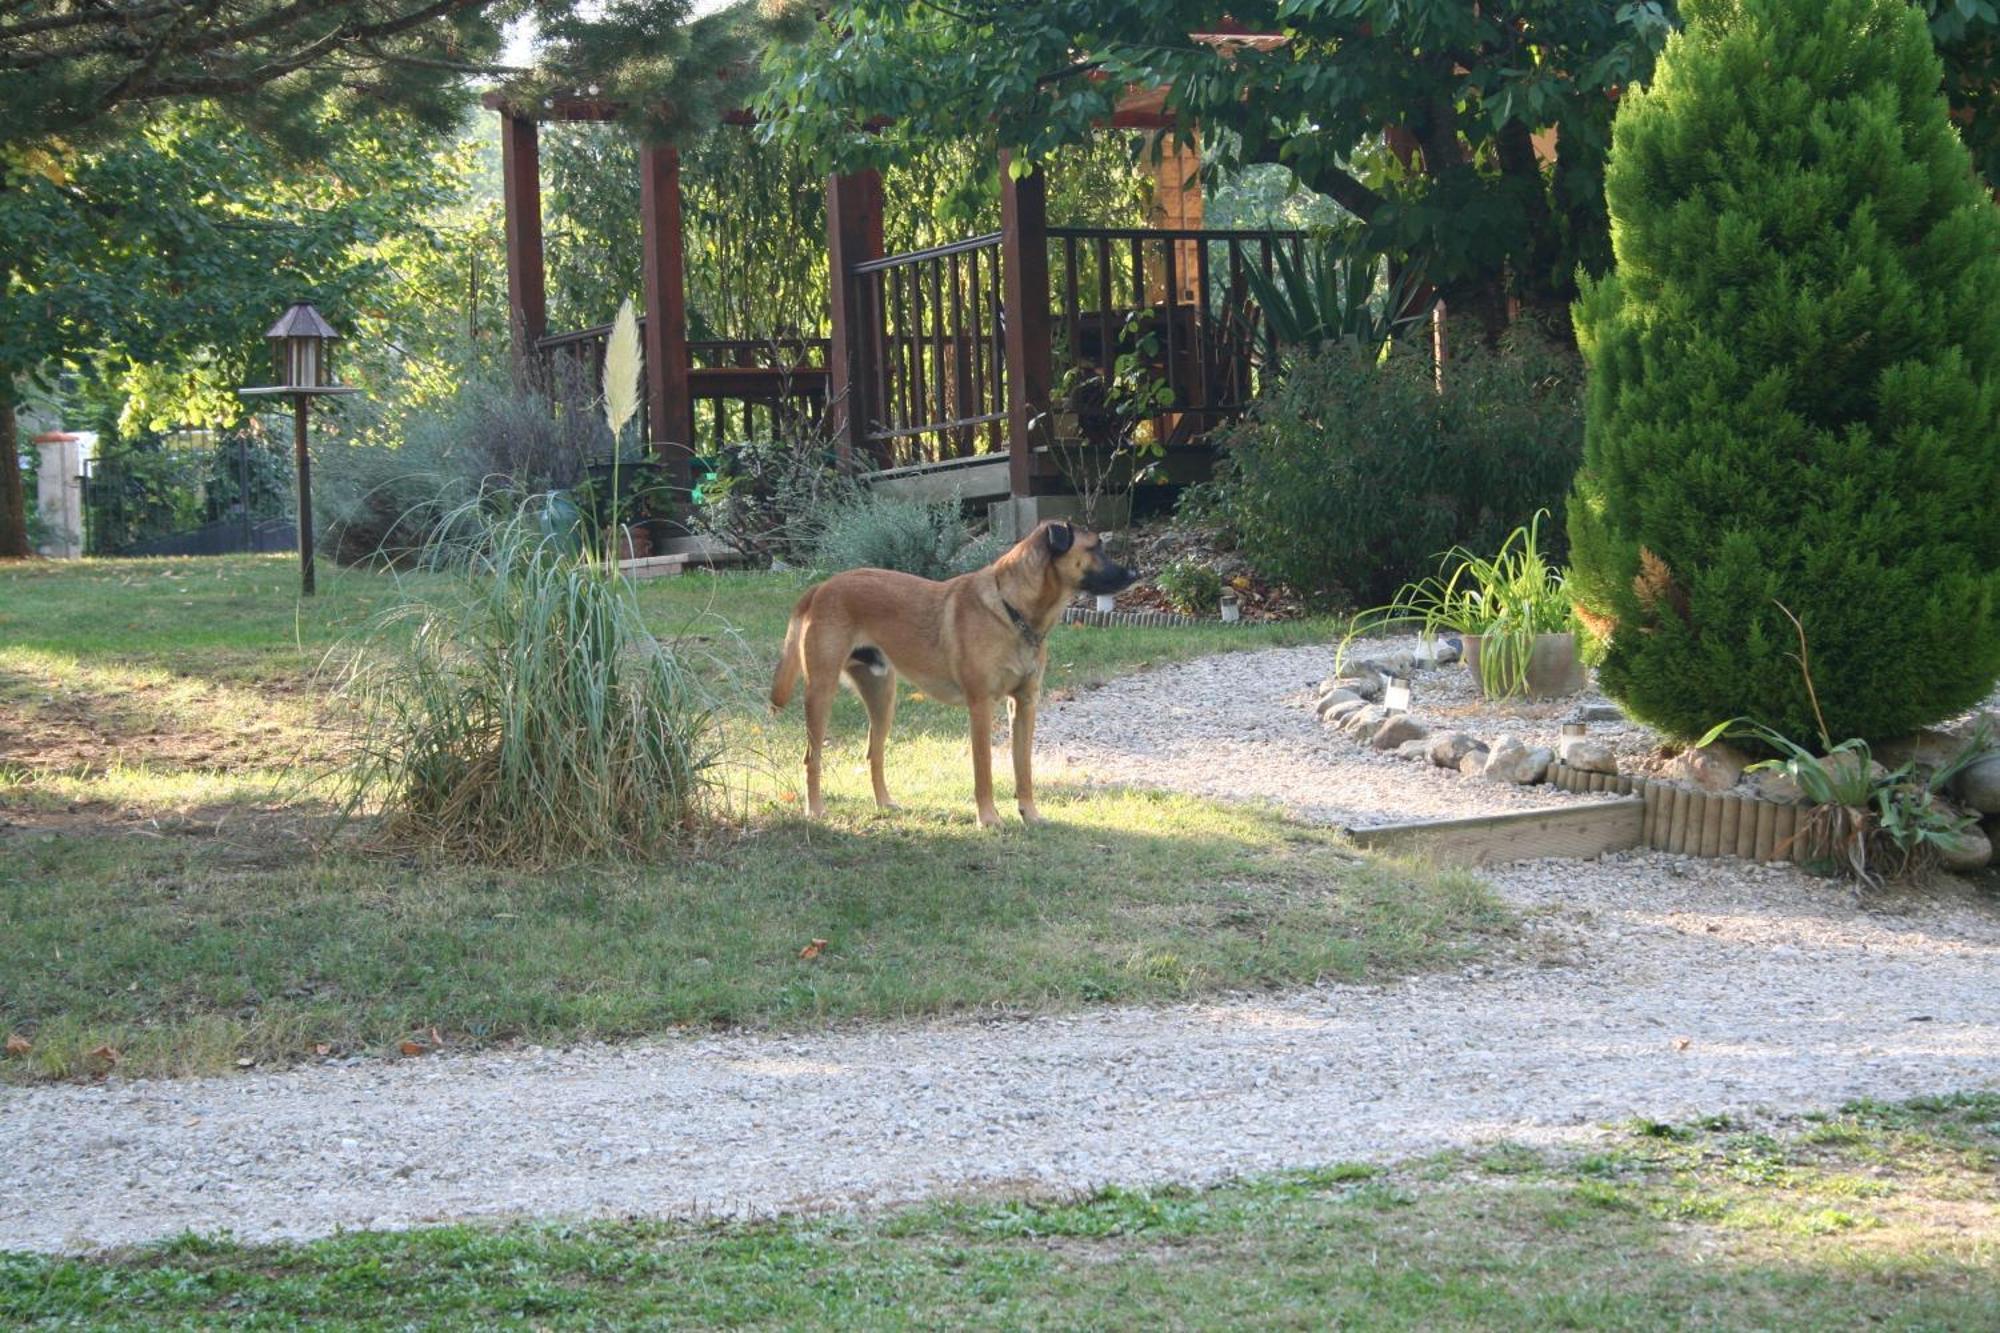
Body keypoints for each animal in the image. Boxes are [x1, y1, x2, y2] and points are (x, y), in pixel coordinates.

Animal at [768, 516, 1144, 820]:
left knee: (874, 754)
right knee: (812, 758)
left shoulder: (1024, 704)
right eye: (1095, 547)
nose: (1136, 573)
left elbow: (1023, 768)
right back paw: (815, 810)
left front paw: (1030, 814)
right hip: (821, 693)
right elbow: (984, 770)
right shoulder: (981, 707)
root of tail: (821, 587)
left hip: (882, 697)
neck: (1013, 609)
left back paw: (884, 803)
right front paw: (989, 818)